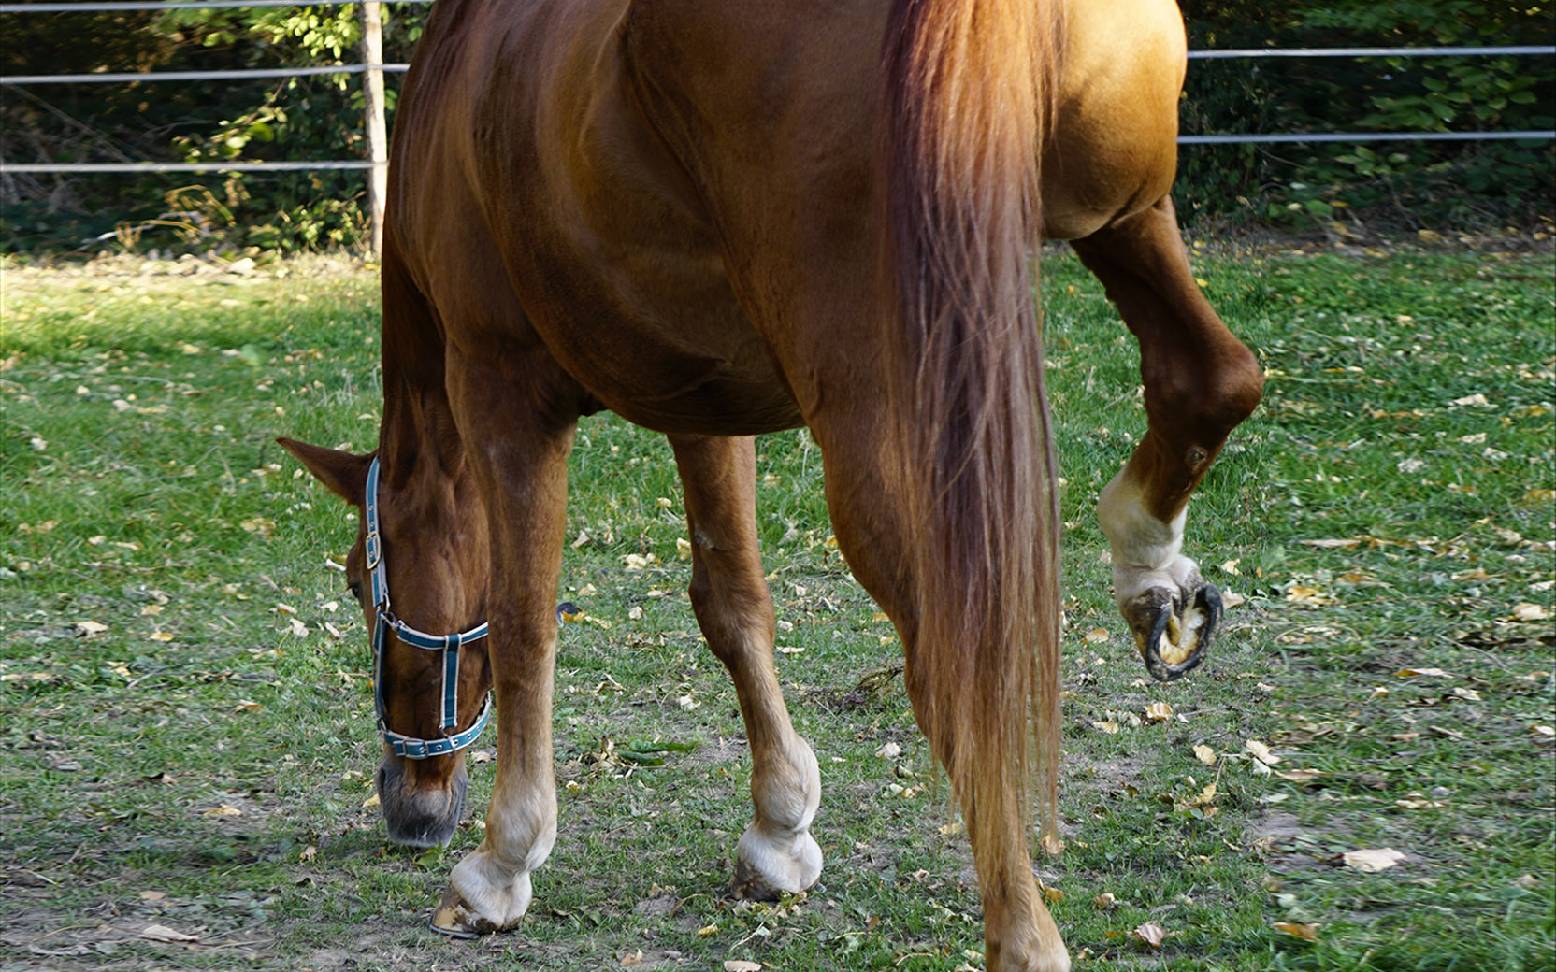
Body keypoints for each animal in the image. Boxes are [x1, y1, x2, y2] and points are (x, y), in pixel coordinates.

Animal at [278, 1, 1262, 967]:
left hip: (873, 424)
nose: (409, 806)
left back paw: (1023, 935)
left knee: (955, 664)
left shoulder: (501, 394)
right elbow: (733, 603)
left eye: (360, 588)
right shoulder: (701, 403)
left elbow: (524, 626)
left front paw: (502, 864)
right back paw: (1152, 572)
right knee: (1213, 379)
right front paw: (780, 831)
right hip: (1126, 216)